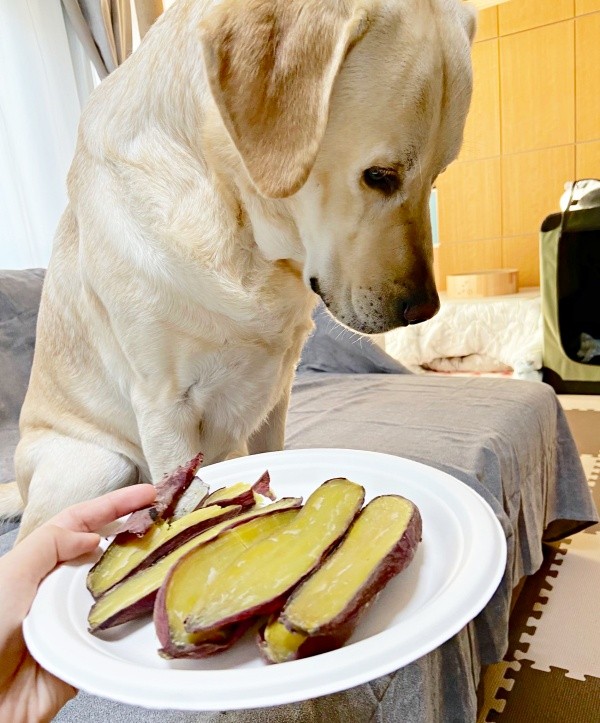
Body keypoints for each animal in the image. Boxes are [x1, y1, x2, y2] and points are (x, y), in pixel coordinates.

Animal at [0, 0, 475, 538]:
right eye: (378, 176)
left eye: (437, 177)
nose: (425, 310)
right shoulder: (164, 409)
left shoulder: (278, 393)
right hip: (97, 465)